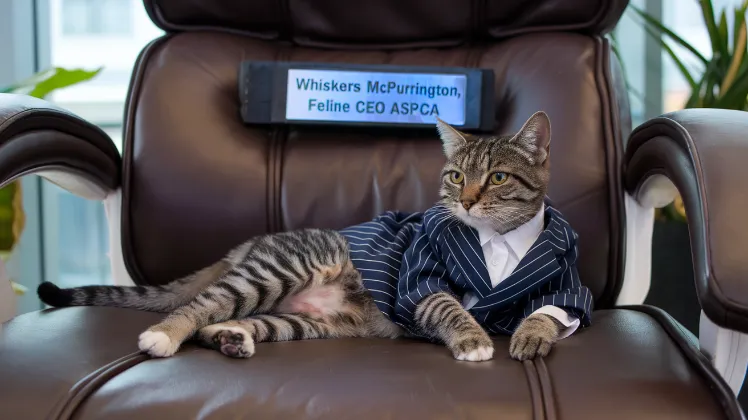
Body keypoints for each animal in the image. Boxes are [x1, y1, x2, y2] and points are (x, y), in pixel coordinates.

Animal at [38, 110, 580, 360]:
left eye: (498, 177)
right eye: (455, 176)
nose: (464, 200)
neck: (496, 240)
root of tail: (247, 248)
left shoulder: (567, 285)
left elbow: (550, 311)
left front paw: (530, 334)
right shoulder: (419, 279)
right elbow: (446, 304)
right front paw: (472, 339)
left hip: (311, 322)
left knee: (234, 321)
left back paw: (232, 337)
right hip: (281, 269)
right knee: (198, 305)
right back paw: (163, 335)